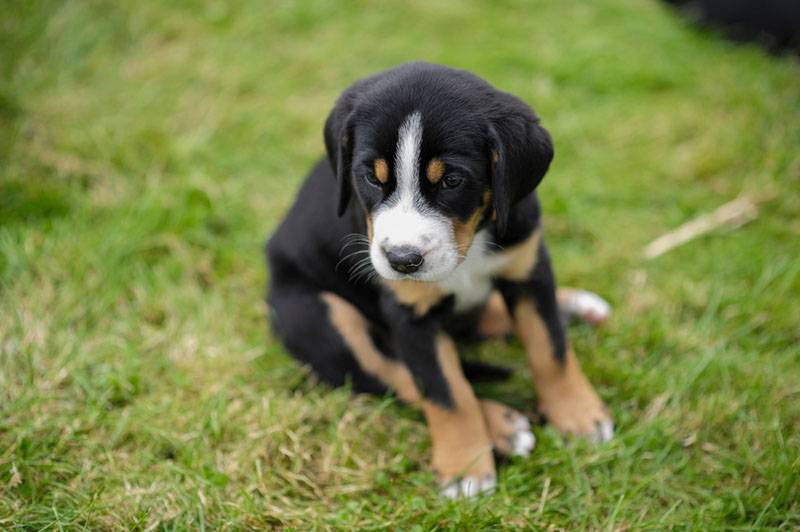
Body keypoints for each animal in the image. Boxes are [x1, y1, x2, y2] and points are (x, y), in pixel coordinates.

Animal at [264, 62, 612, 498]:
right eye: (371, 177)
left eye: (451, 181)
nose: (402, 260)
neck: (469, 248)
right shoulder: (409, 314)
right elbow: (445, 391)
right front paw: (466, 468)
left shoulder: (529, 269)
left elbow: (551, 349)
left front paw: (578, 416)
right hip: (319, 317)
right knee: (395, 378)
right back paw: (501, 426)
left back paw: (574, 306)